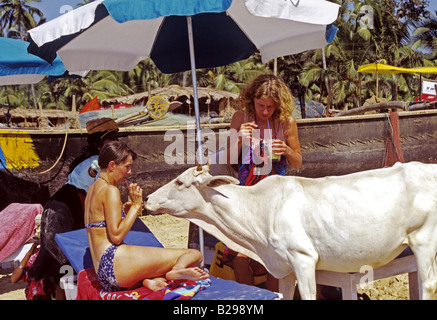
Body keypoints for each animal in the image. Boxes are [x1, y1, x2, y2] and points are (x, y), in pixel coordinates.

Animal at [144, 161, 436, 298]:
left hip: (424, 240)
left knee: (429, 285)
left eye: (180, 182)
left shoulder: (303, 258)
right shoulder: (283, 266)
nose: (147, 198)